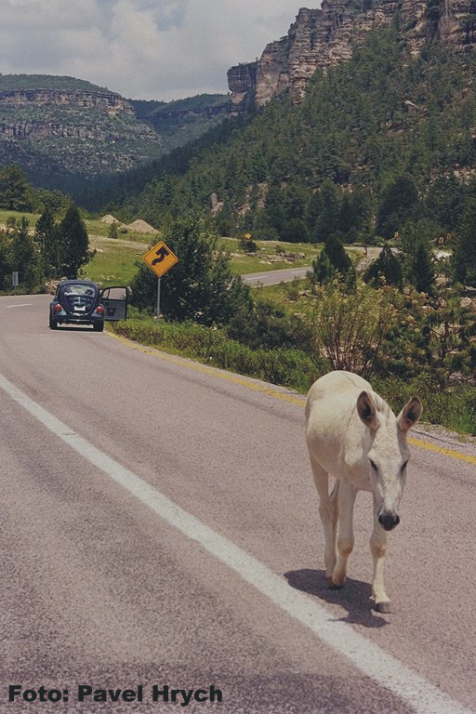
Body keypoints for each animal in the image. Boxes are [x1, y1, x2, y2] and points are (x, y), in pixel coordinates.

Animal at [304, 370, 420, 608]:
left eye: (404, 464)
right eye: (373, 463)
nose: (390, 520)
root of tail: (333, 373)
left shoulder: (380, 496)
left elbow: (379, 544)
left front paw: (380, 595)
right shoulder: (350, 487)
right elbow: (346, 541)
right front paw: (338, 579)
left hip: (338, 474)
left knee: (333, 506)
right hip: (316, 462)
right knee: (326, 509)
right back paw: (329, 569)